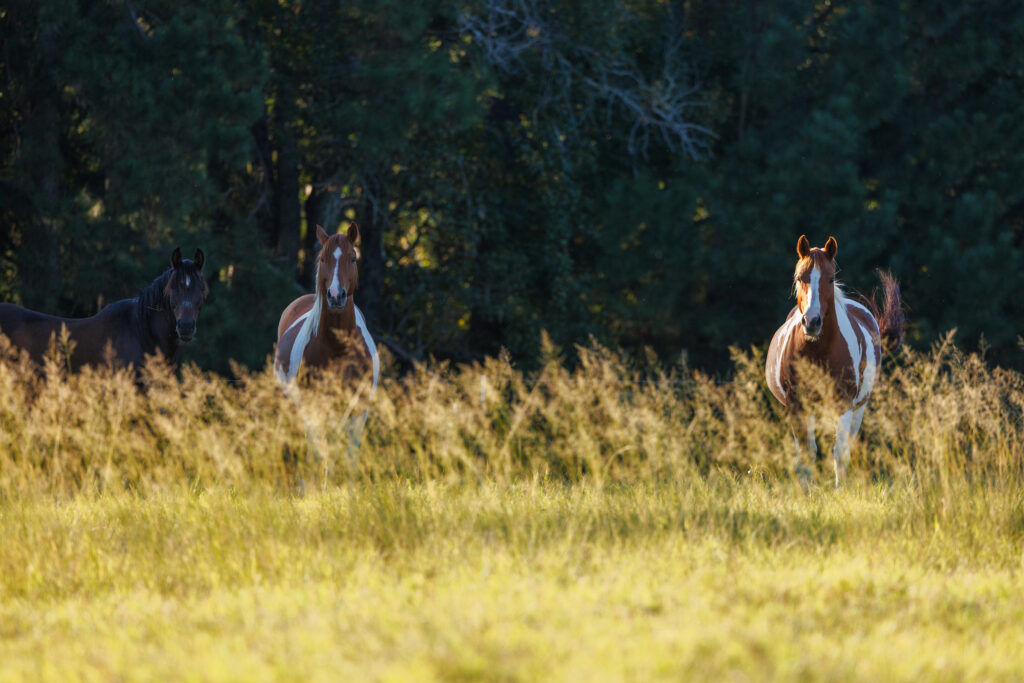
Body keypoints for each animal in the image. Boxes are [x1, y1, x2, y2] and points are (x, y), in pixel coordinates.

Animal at [765, 235, 903, 487]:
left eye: (830, 278)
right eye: (799, 277)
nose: (811, 322)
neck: (818, 350)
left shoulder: (844, 404)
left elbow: (839, 452)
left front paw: (841, 490)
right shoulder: (797, 406)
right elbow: (806, 454)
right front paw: (806, 490)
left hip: (859, 408)